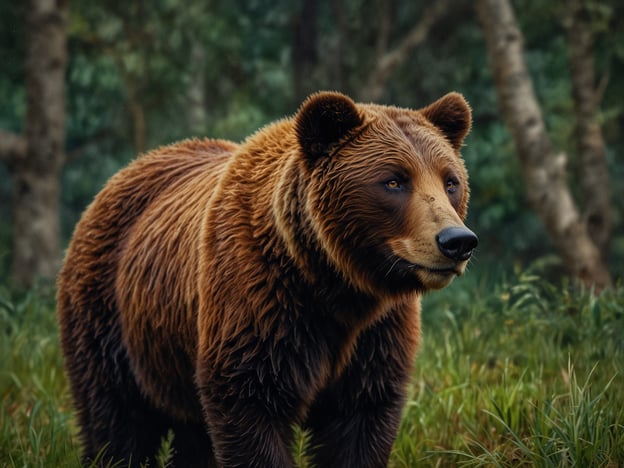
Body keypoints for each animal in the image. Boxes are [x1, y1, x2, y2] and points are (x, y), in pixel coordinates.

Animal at [57, 89, 478, 466]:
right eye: (394, 181)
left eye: (450, 181)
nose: (457, 241)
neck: (334, 282)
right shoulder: (259, 305)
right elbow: (250, 404)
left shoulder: (376, 335)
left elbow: (361, 421)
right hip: (110, 318)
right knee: (114, 420)